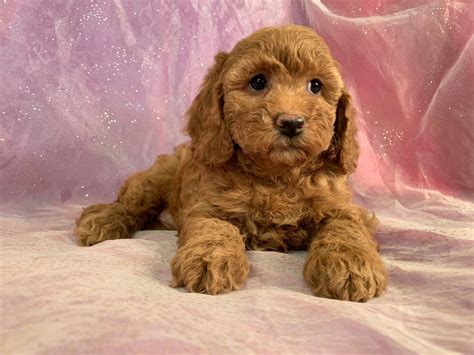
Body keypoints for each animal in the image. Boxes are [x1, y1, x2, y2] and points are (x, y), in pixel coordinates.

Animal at [75, 25, 388, 304]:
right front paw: (209, 260)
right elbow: (215, 229)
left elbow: (345, 230)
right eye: (258, 82)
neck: (277, 176)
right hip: (158, 176)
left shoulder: (343, 208)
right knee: (131, 204)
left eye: (316, 85)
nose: (291, 122)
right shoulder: (208, 206)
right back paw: (101, 220)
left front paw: (351, 266)